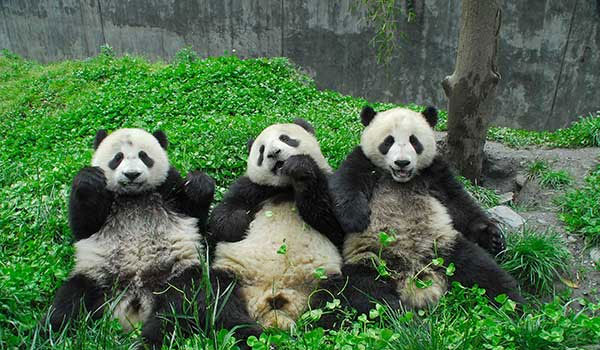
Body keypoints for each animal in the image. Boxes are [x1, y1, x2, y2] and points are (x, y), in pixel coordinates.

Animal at [45, 128, 238, 348]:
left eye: (144, 156)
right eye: (117, 158)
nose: (132, 175)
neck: (134, 196)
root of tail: (135, 301)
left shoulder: (168, 186)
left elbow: (195, 217)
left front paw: (198, 183)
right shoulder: (104, 201)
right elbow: (83, 226)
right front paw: (88, 180)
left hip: (176, 275)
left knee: (178, 308)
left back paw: (148, 339)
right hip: (97, 278)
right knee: (68, 303)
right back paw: (47, 334)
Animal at [210, 118, 342, 334]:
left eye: (285, 138)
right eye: (262, 150)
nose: (273, 153)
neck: (285, 187)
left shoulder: (331, 183)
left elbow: (334, 222)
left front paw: (301, 169)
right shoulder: (252, 187)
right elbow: (222, 217)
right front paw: (243, 219)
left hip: (323, 277)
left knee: (341, 296)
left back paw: (320, 327)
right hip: (233, 271)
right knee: (216, 296)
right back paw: (245, 329)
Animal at [330, 105, 524, 314]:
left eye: (414, 141)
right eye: (388, 141)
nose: (402, 163)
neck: (400, 180)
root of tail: (416, 276)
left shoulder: (435, 172)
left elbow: (459, 204)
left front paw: (494, 237)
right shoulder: (363, 161)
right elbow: (345, 185)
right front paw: (357, 219)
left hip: (445, 249)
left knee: (487, 274)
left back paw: (518, 309)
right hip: (371, 260)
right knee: (365, 292)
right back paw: (401, 315)